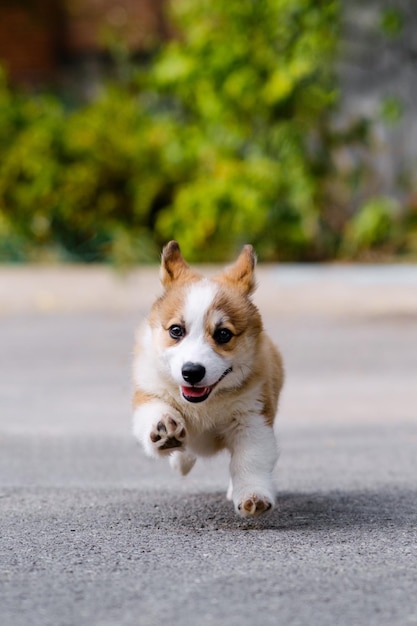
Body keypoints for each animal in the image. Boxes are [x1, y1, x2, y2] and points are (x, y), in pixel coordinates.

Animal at [133, 241, 282, 516]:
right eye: (176, 331)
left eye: (223, 334)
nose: (191, 371)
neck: (204, 404)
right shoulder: (148, 392)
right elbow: (155, 412)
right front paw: (164, 429)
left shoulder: (252, 419)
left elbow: (249, 460)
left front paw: (253, 496)